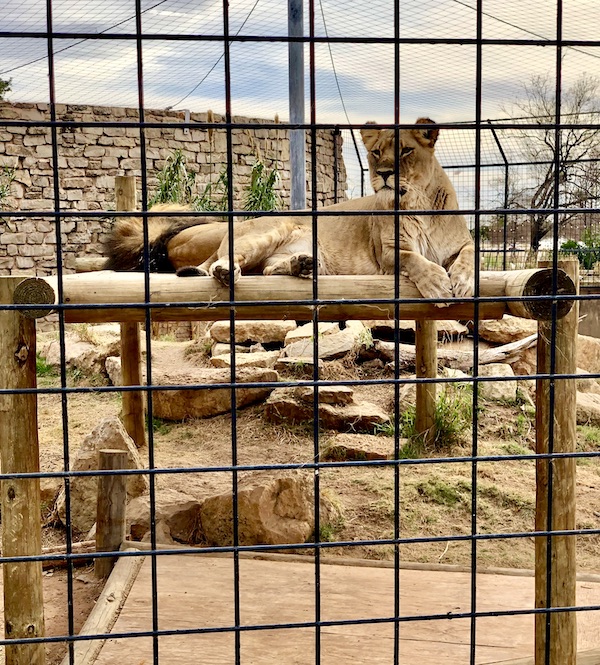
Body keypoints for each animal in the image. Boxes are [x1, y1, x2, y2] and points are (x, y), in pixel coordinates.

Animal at [104, 118, 474, 304]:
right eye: (376, 152)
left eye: (406, 151)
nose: (383, 174)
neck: (419, 203)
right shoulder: (388, 253)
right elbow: (414, 259)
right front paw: (438, 285)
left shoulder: (462, 244)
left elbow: (470, 255)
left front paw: (463, 281)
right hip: (269, 231)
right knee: (223, 262)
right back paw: (230, 272)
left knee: (269, 270)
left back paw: (303, 264)